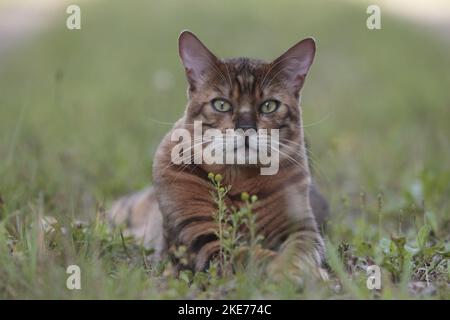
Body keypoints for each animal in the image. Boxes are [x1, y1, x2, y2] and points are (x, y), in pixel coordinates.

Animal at [110, 30, 330, 280]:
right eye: (221, 104)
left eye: (269, 106)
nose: (246, 128)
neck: (241, 181)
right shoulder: (204, 237)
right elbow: (254, 256)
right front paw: (292, 272)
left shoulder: (301, 228)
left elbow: (299, 250)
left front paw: (301, 269)